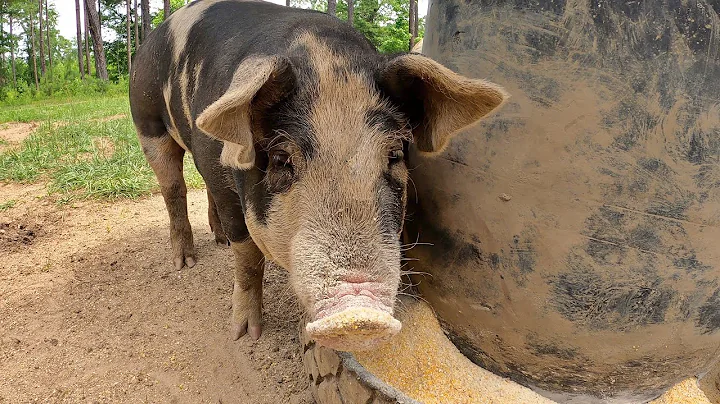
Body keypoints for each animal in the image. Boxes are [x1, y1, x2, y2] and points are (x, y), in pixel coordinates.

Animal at [129, 0, 508, 351]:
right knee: (173, 188)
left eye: (395, 156)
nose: (360, 317)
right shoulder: (219, 172)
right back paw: (185, 262)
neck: (324, 57)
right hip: (147, 122)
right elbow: (248, 257)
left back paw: (217, 239)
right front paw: (245, 335)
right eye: (281, 159)